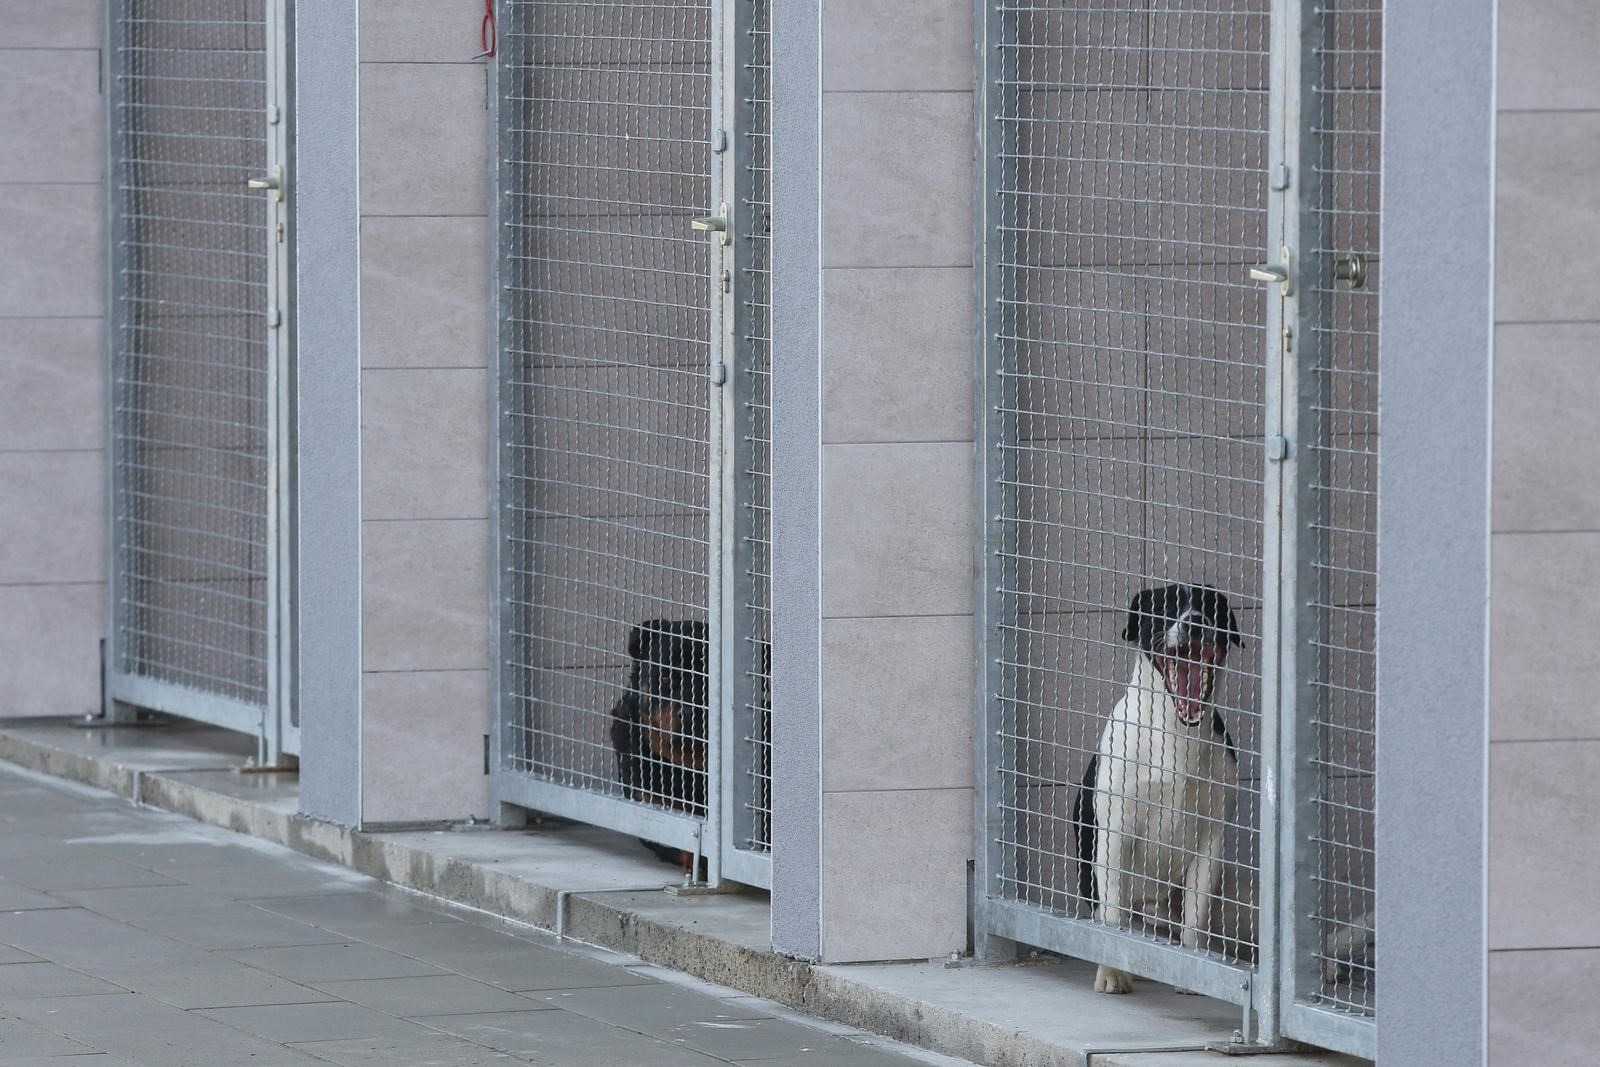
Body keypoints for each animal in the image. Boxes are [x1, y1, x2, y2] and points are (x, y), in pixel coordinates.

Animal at [1075, 585, 1248, 991]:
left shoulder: (1210, 839)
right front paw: (1112, 971)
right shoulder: (1115, 833)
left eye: (1210, 608)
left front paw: (1193, 968)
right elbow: (1112, 915)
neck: (1175, 731)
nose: (1194, 623)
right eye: (1165, 607)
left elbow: (1195, 917)